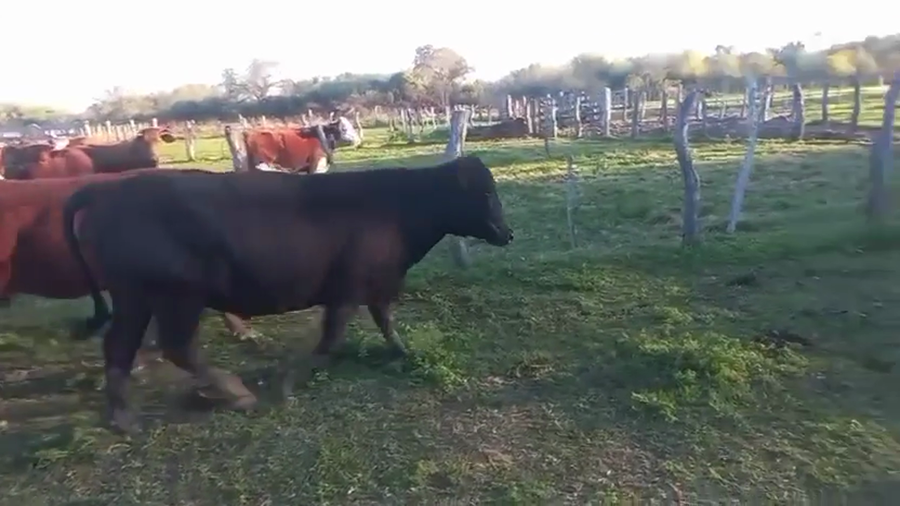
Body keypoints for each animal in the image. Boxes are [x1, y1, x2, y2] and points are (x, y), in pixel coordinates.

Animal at [63, 155, 513, 434]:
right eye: (484, 194)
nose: (507, 233)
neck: (396, 207)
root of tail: (109, 192)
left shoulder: (377, 284)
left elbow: (386, 322)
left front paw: (404, 353)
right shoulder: (347, 289)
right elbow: (331, 339)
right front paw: (289, 384)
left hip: (136, 299)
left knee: (120, 348)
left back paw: (122, 415)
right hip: (176, 297)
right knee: (174, 346)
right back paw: (233, 392)